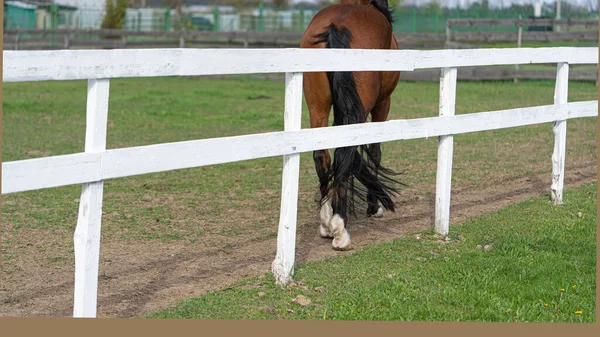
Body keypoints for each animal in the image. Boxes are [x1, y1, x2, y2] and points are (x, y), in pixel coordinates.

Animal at [300, 0, 404, 251]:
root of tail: (337, 25)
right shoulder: (382, 104)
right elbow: (374, 152)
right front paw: (374, 206)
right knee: (343, 153)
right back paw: (339, 227)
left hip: (317, 107)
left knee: (322, 156)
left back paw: (326, 222)